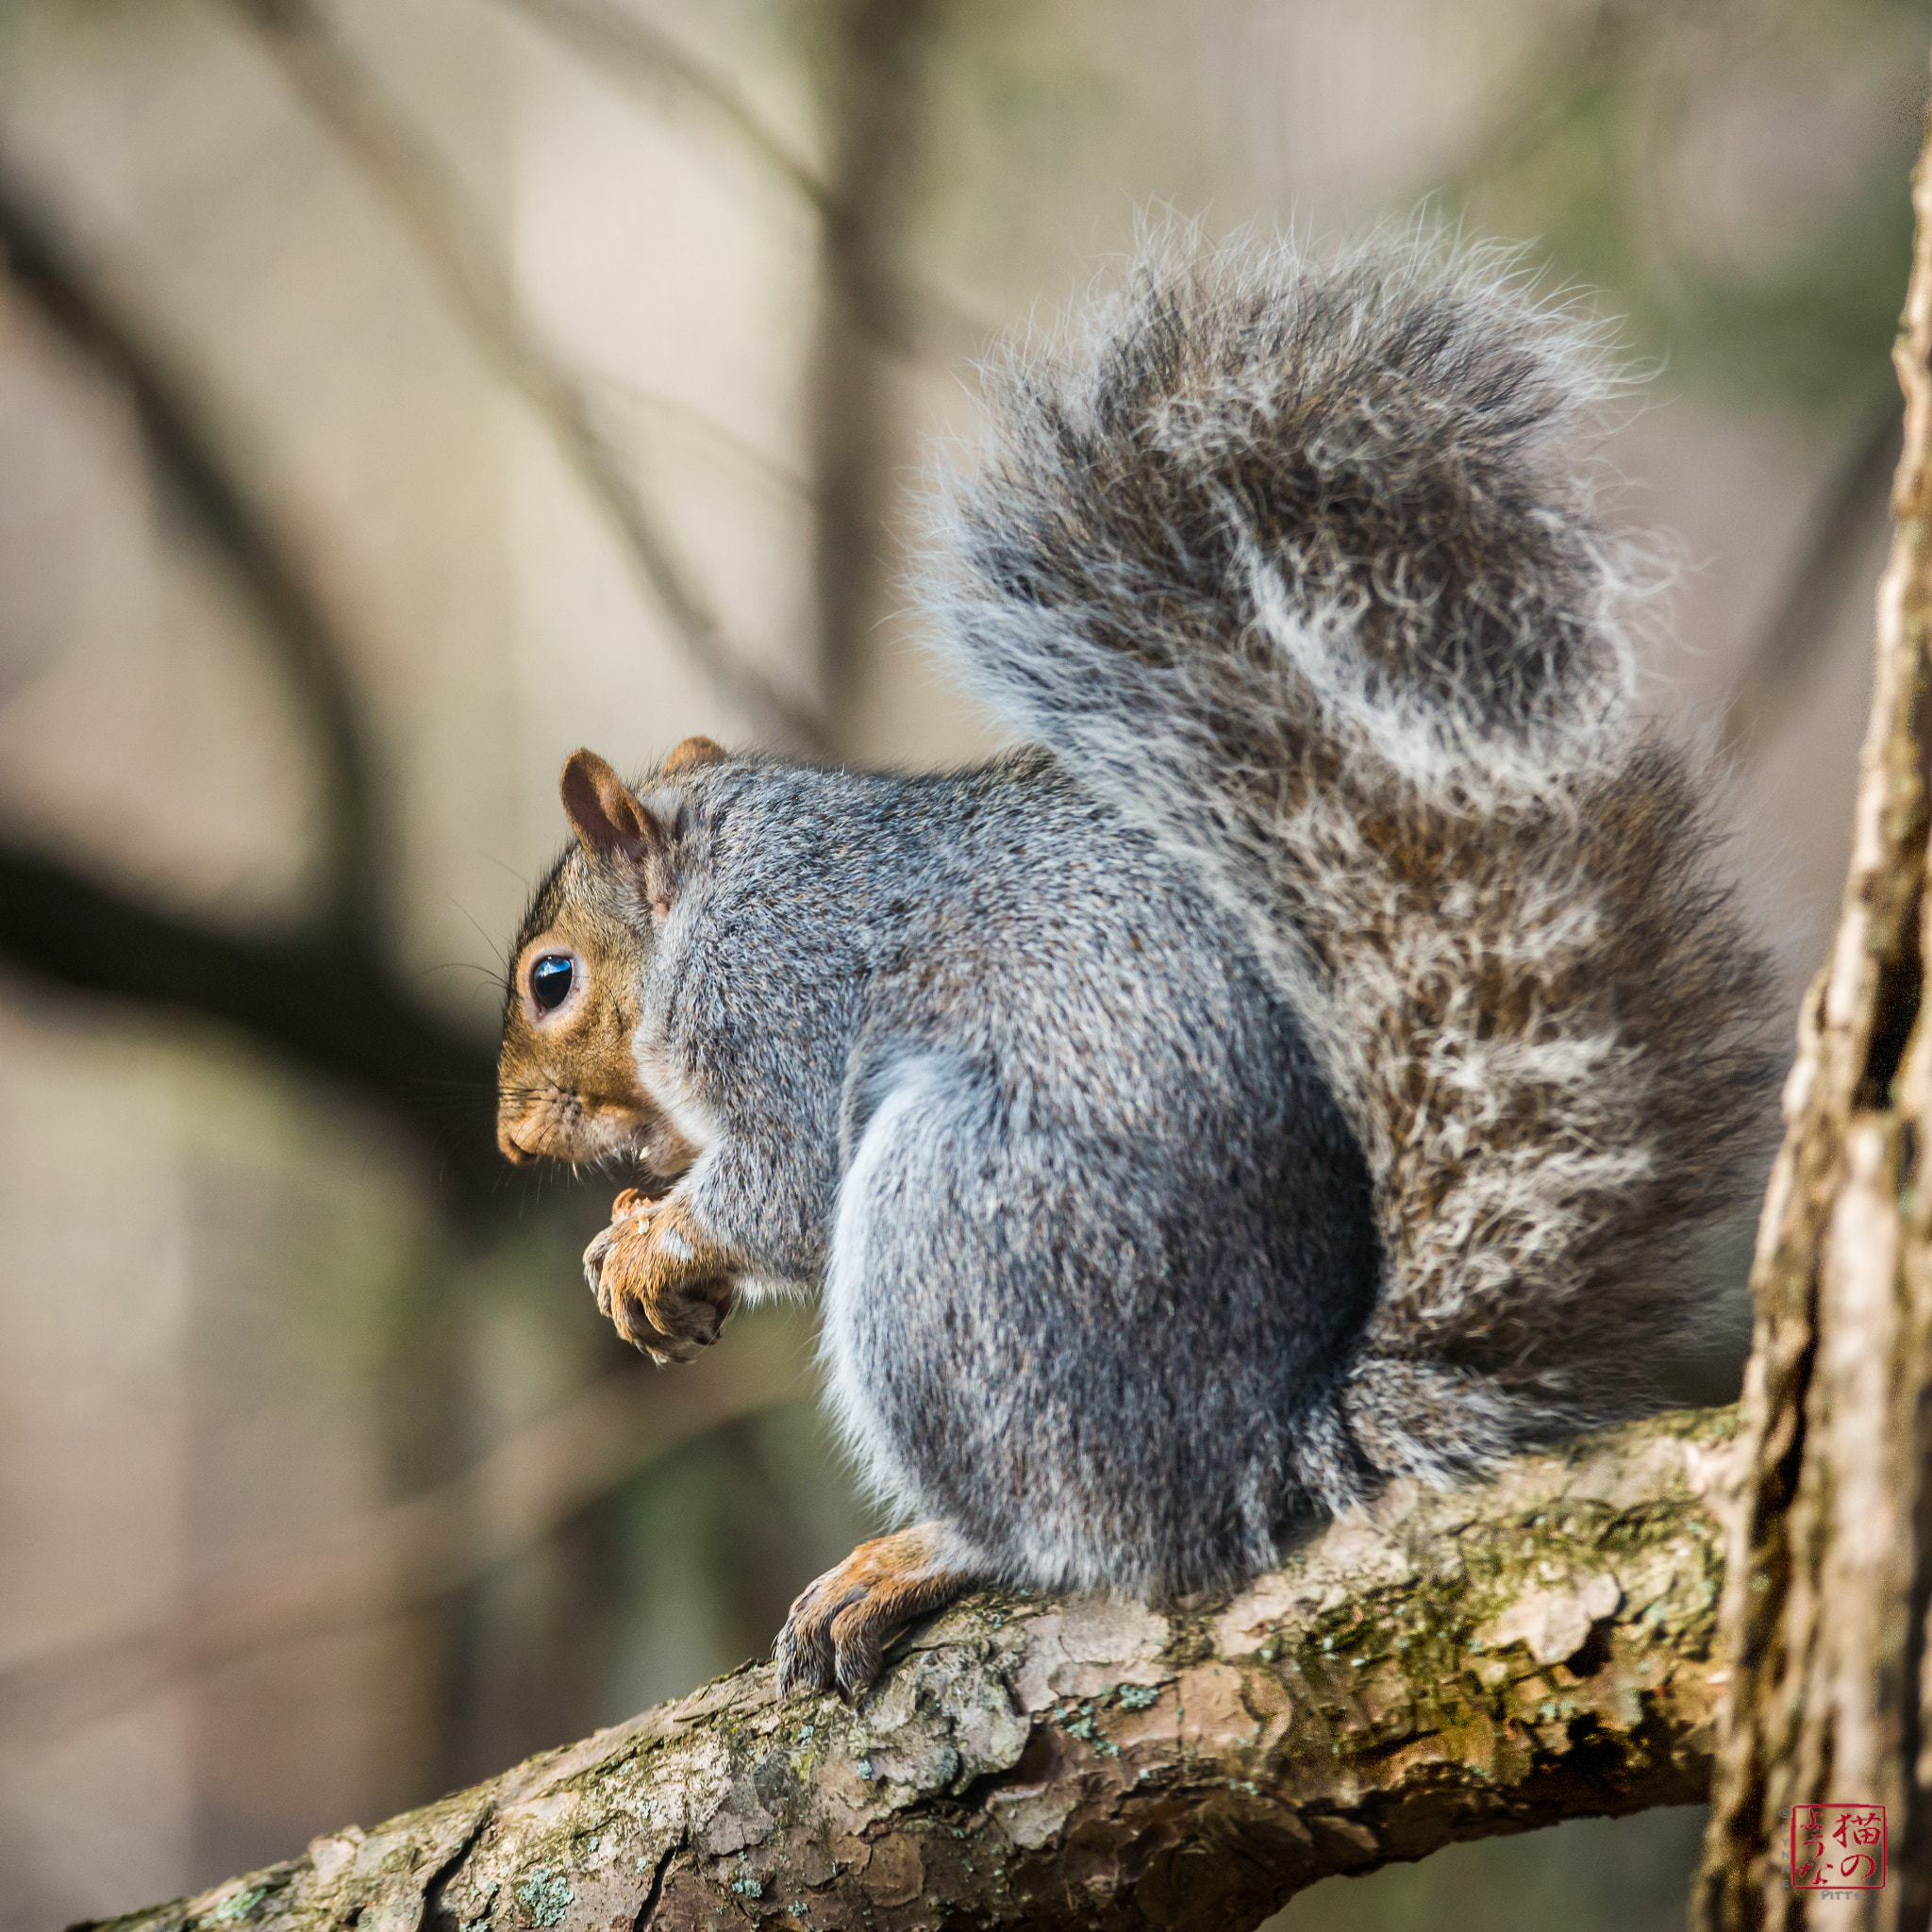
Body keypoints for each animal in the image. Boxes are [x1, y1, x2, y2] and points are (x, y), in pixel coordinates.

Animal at [496, 233, 1780, 1701]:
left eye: (550, 979)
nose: (511, 1139)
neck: (711, 884)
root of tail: (1264, 1445)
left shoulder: (776, 992)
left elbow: (786, 1181)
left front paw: (653, 1242)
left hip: (962, 1240)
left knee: (1071, 1528)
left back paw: (922, 1555)